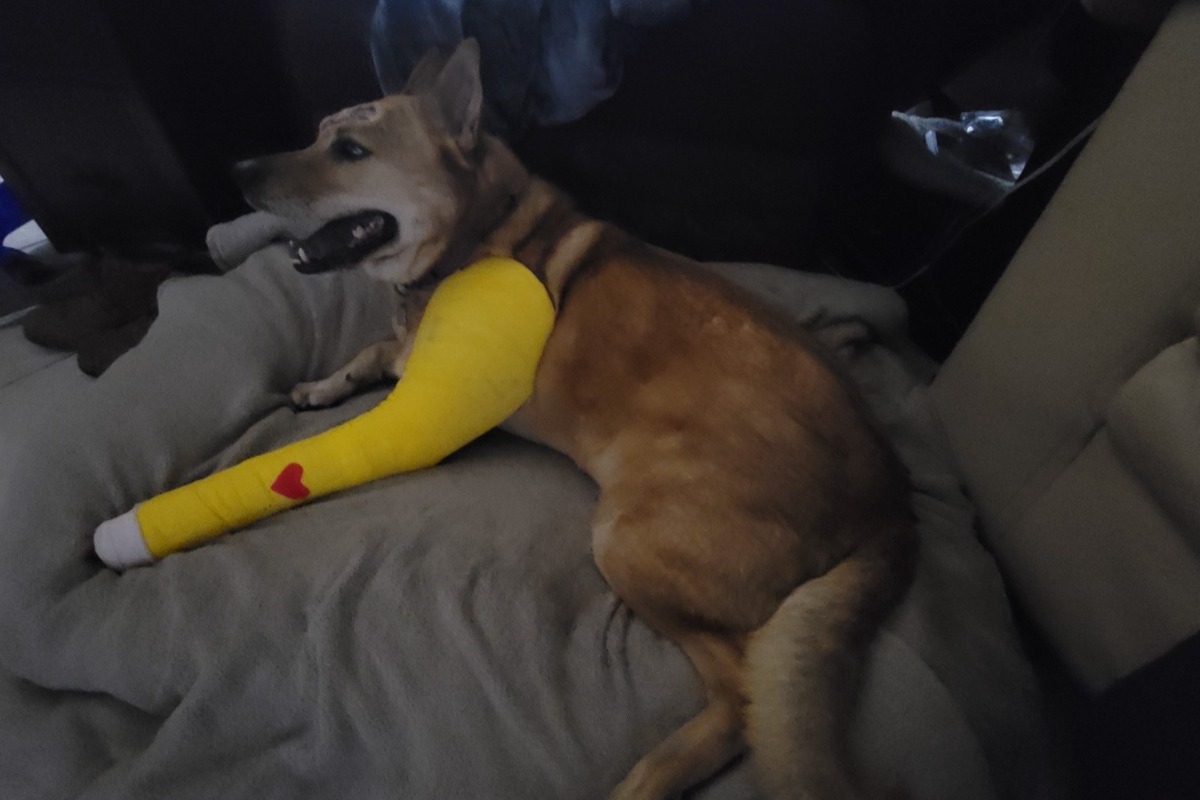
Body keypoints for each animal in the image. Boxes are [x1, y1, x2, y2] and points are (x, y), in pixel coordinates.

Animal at [233, 39, 917, 800]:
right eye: (318, 132)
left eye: (351, 150)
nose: (237, 171)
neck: (475, 231)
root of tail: (891, 505)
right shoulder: (406, 352)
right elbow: (375, 350)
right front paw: (326, 383)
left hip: (626, 540)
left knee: (740, 696)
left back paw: (654, 774)